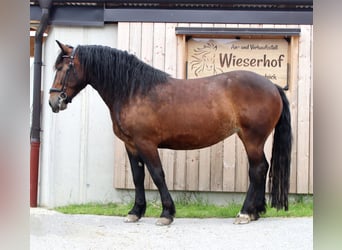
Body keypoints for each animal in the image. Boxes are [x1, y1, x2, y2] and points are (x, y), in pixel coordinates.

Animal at [48, 40, 292, 225]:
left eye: (63, 68)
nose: (53, 101)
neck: (133, 91)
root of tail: (273, 87)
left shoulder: (146, 143)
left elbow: (157, 174)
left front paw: (166, 213)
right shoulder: (131, 145)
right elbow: (138, 177)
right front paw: (135, 212)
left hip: (252, 139)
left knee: (257, 170)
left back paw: (245, 213)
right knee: (261, 169)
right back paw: (255, 212)